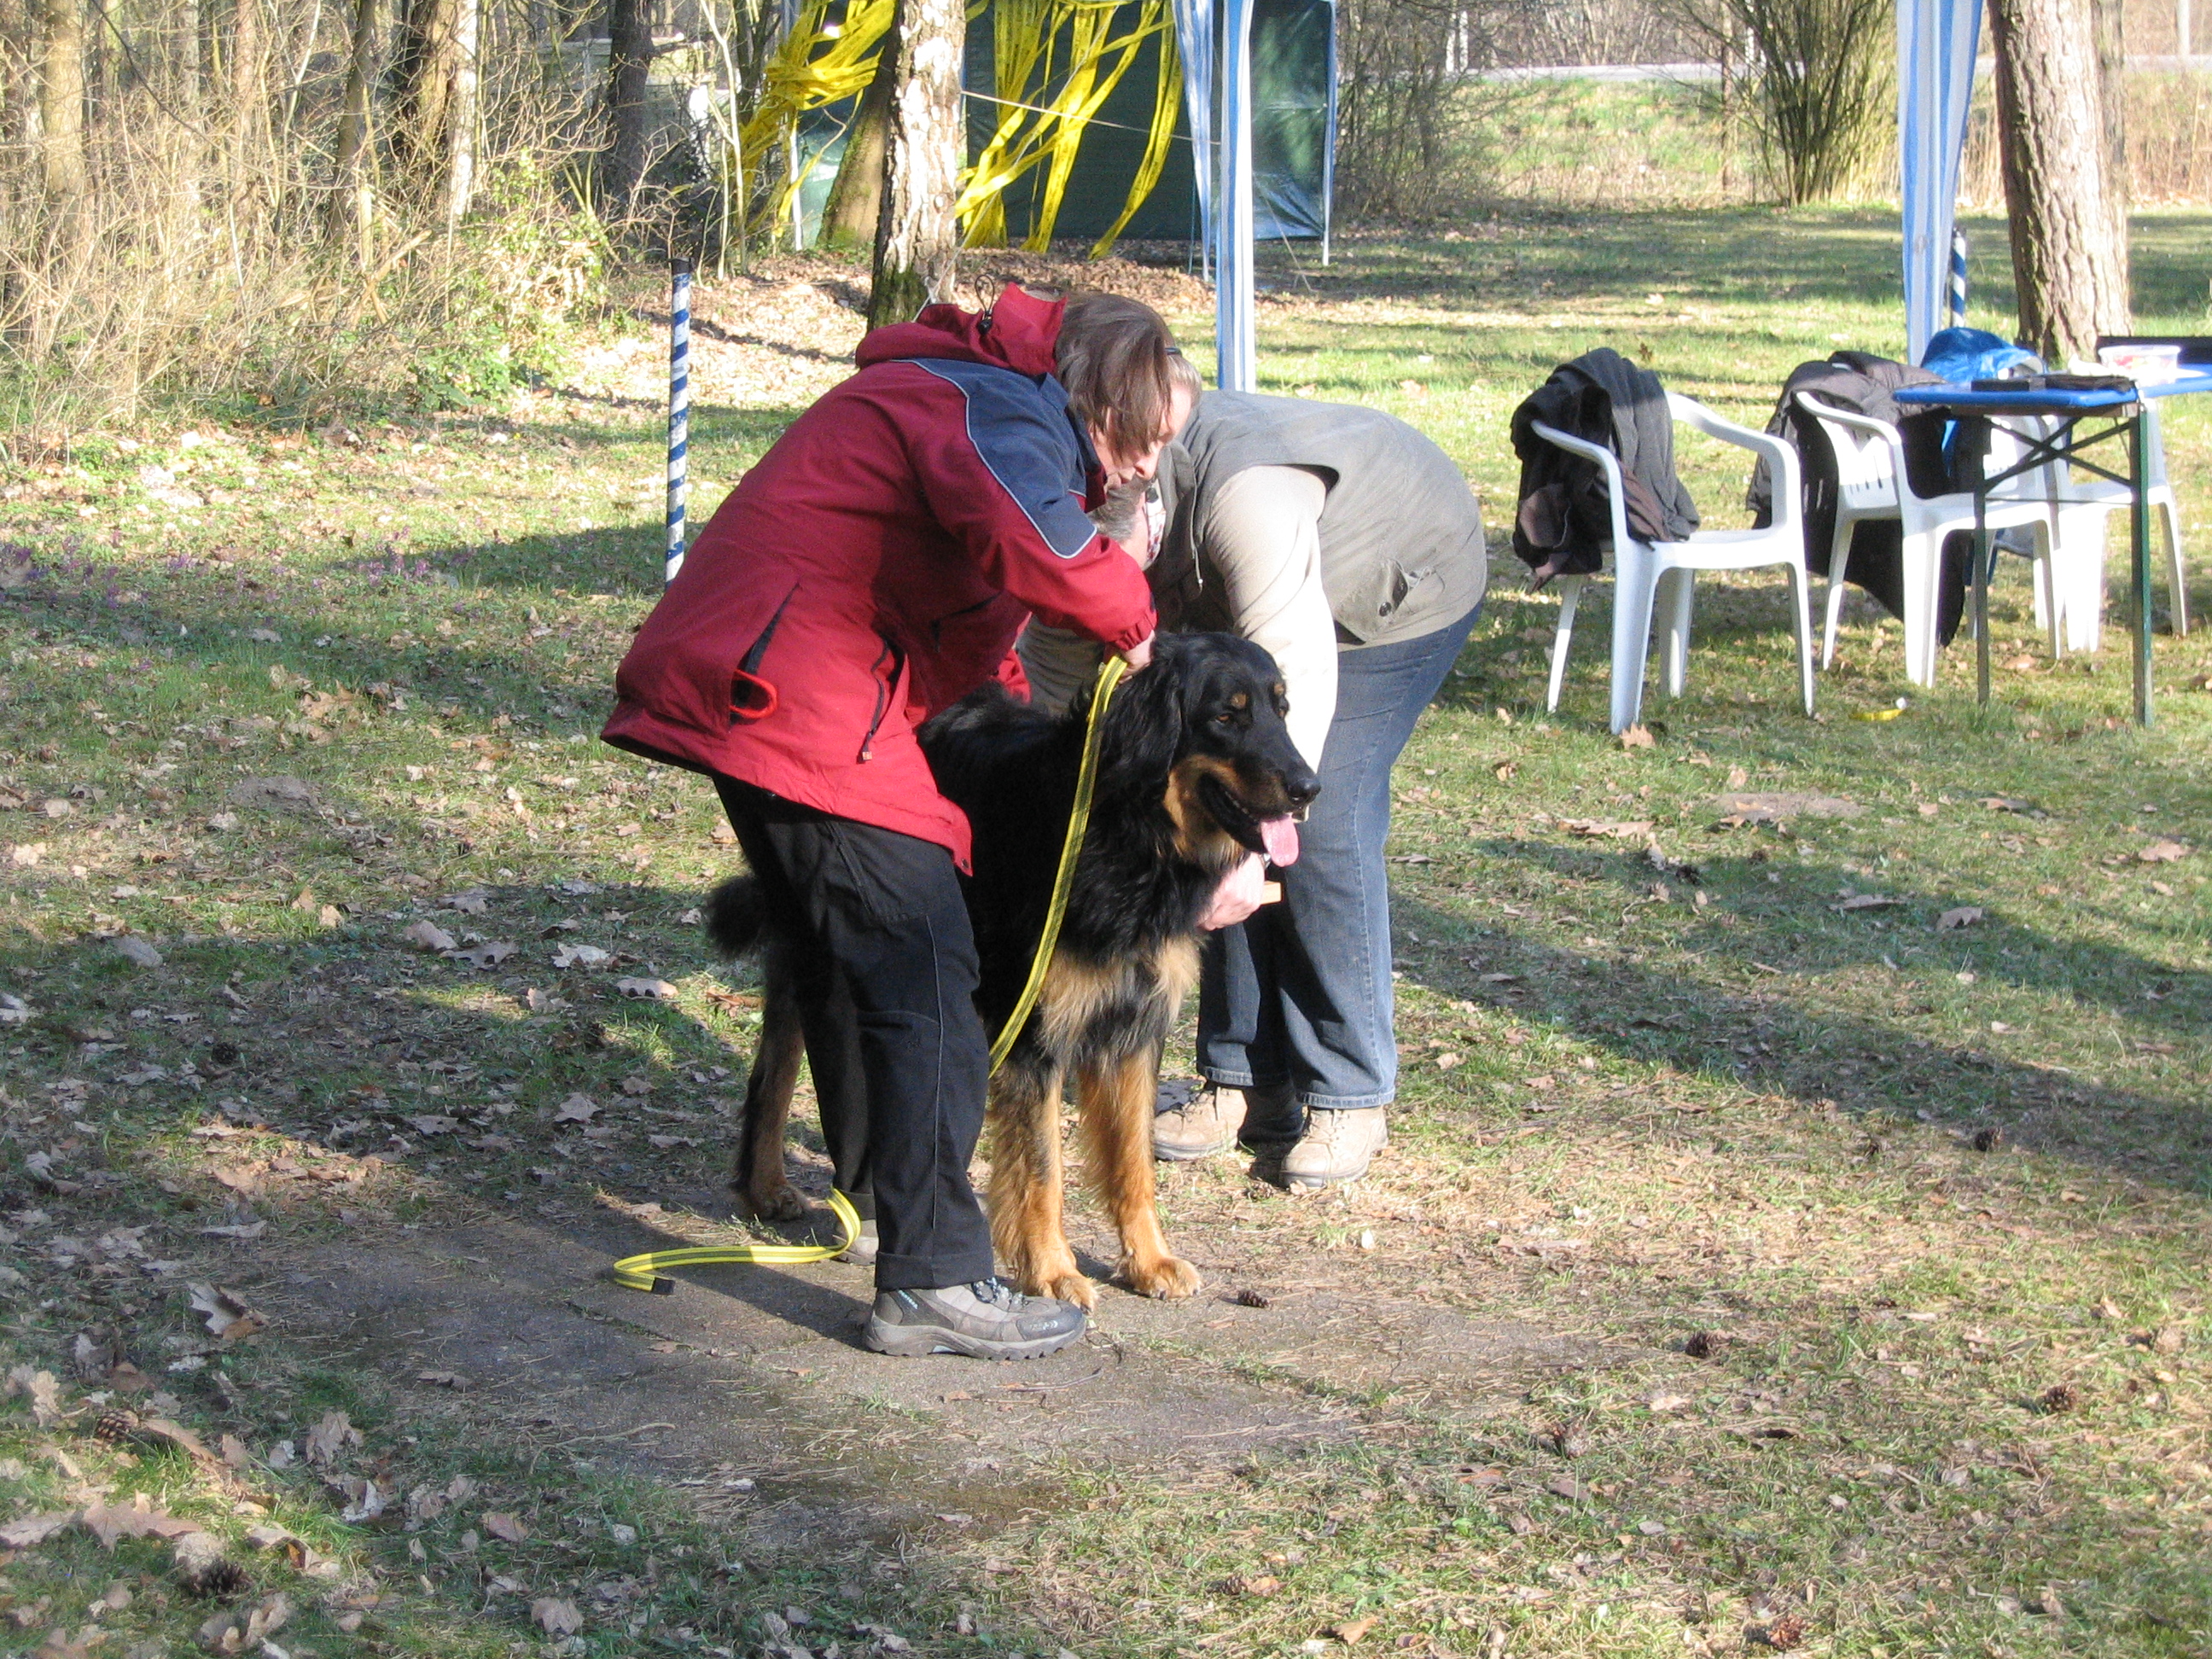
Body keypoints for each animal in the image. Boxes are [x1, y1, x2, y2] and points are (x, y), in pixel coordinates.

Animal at [707, 632, 1319, 1308]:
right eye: (1226, 717)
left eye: (1281, 710)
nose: (1309, 788)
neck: (1123, 831)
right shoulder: (1035, 1032)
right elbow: (1042, 1168)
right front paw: (1051, 1269)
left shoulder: (1132, 1027)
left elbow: (1133, 1160)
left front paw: (1149, 1260)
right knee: (781, 1060)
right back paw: (776, 1186)